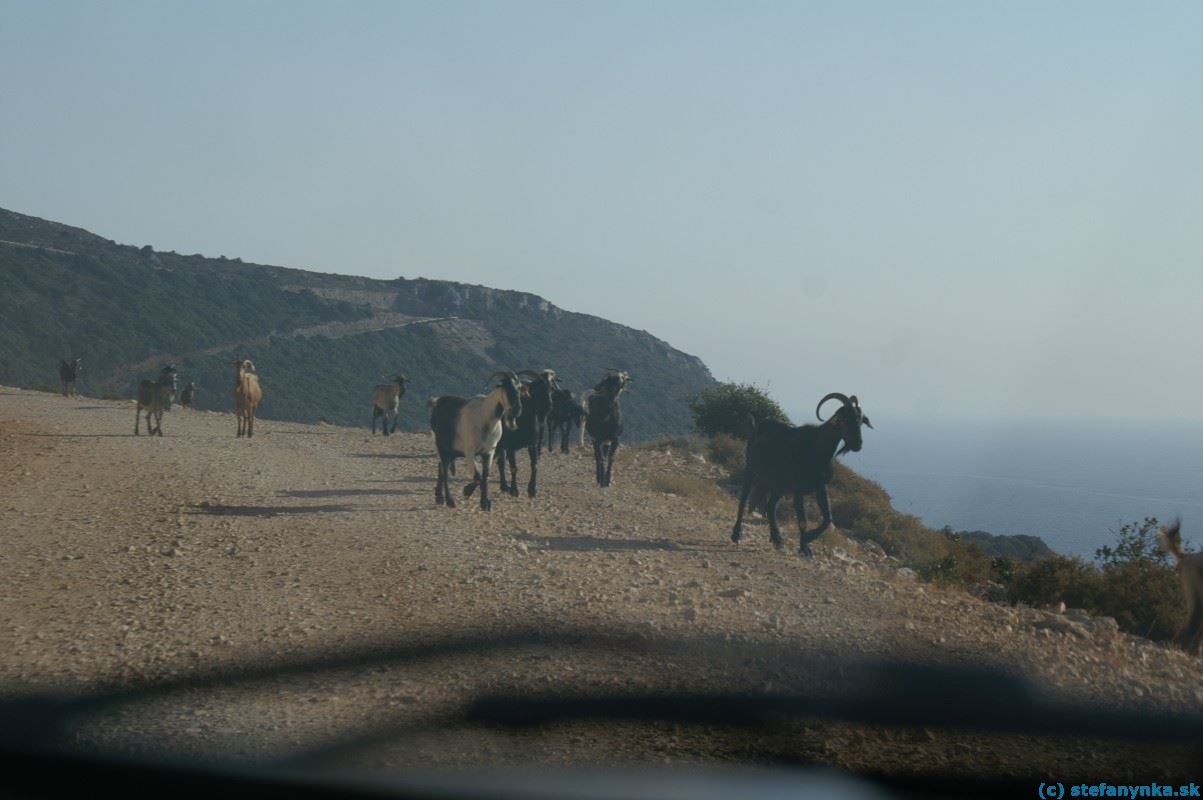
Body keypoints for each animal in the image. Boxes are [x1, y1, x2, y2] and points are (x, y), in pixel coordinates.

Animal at [433, 370, 526, 507]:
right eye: (507, 387)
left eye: (519, 388)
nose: (517, 409)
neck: (486, 418)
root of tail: (437, 403)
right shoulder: (470, 451)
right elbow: (478, 477)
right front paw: (467, 491)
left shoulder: (489, 451)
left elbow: (485, 476)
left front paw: (484, 503)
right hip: (440, 445)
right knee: (444, 470)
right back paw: (449, 501)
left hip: (451, 451)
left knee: (441, 467)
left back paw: (439, 497)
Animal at [731, 387, 875, 553]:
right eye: (844, 419)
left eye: (860, 421)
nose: (857, 444)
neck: (817, 450)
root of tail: (756, 426)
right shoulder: (798, 489)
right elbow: (802, 521)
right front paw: (805, 547)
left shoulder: (820, 487)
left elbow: (827, 518)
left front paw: (808, 538)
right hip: (751, 468)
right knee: (743, 500)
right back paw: (736, 535)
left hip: (779, 485)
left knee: (771, 506)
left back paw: (777, 539)